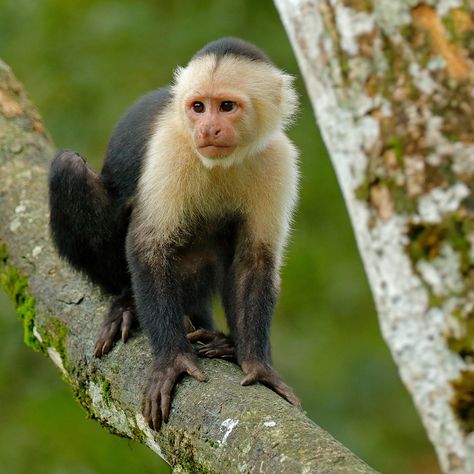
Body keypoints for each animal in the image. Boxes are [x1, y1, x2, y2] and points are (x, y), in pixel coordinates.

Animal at [48, 37, 300, 430]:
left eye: (226, 106)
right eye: (198, 107)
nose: (207, 129)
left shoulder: (278, 159)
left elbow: (254, 261)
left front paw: (257, 364)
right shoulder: (171, 148)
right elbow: (148, 245)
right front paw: (172, 360)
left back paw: (224, 342)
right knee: (68, 168)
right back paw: (126, 303)